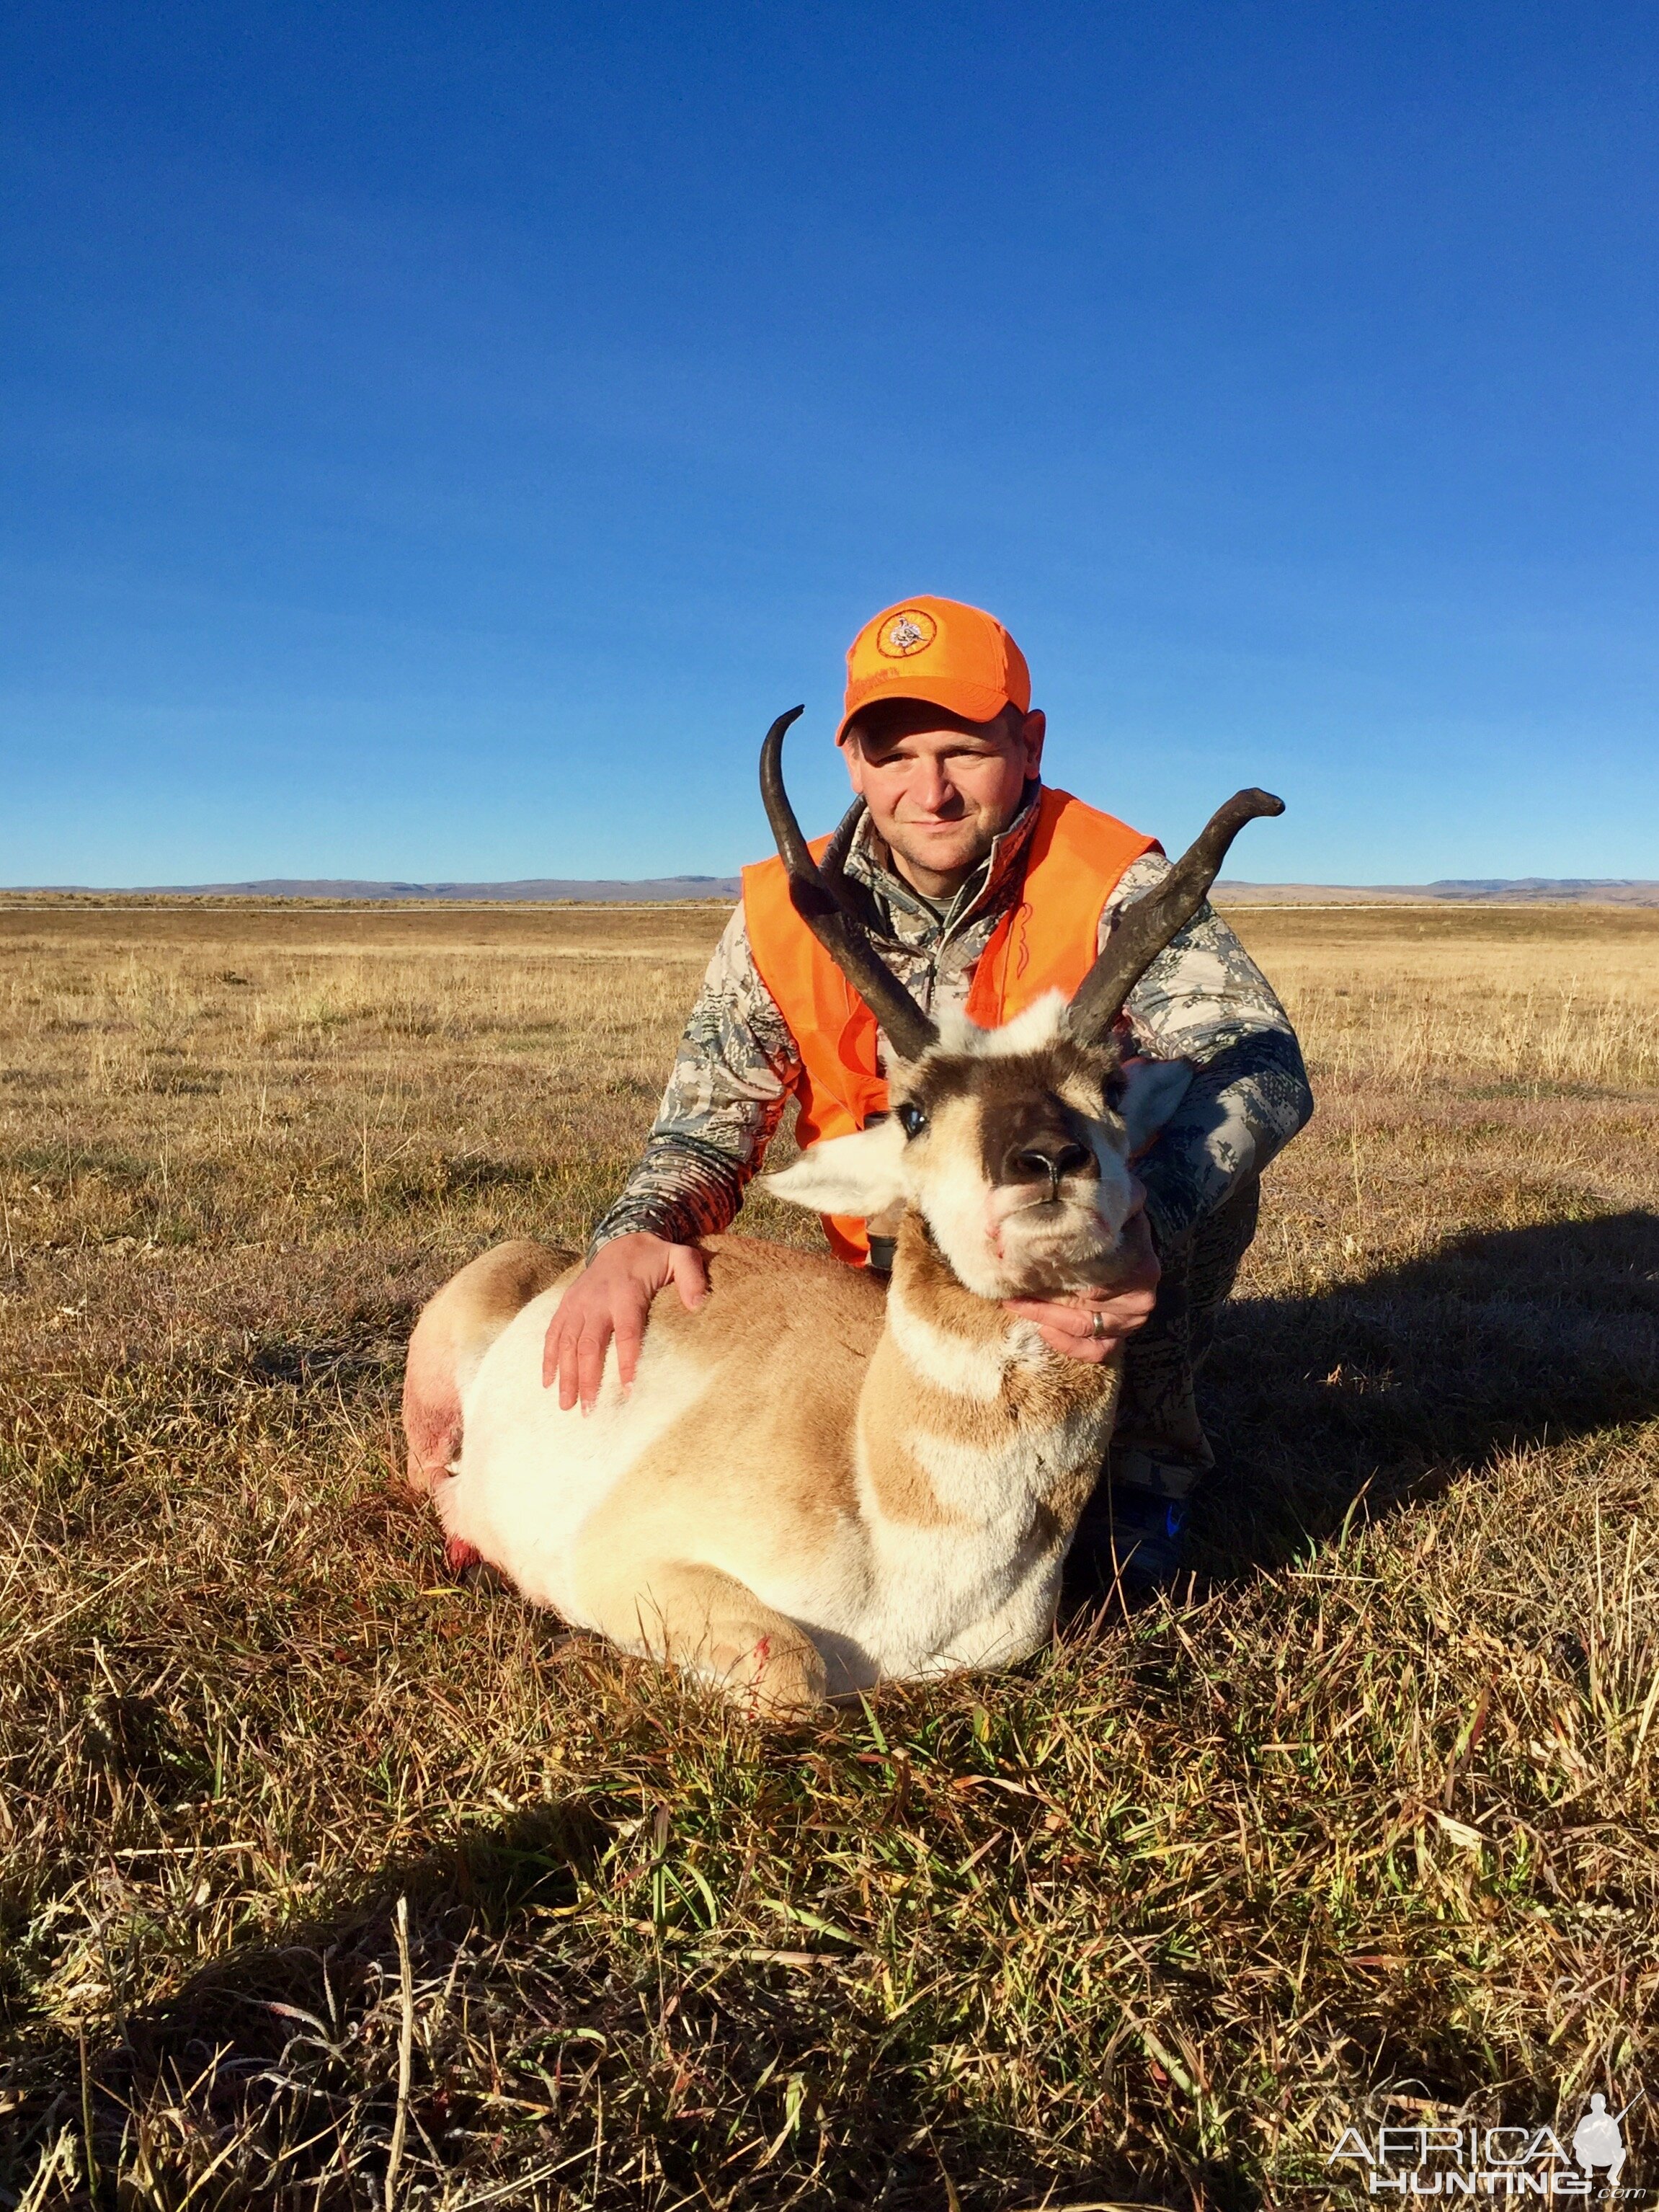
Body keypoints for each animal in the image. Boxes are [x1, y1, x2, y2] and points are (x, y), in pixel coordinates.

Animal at [406, 716, 1283, 1716]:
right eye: (913, 1112)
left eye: (1106, 1087)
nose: (1045, 1160)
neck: (878, 1488)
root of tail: (557, 1267)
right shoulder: (630, 1565)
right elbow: (794, 1667)